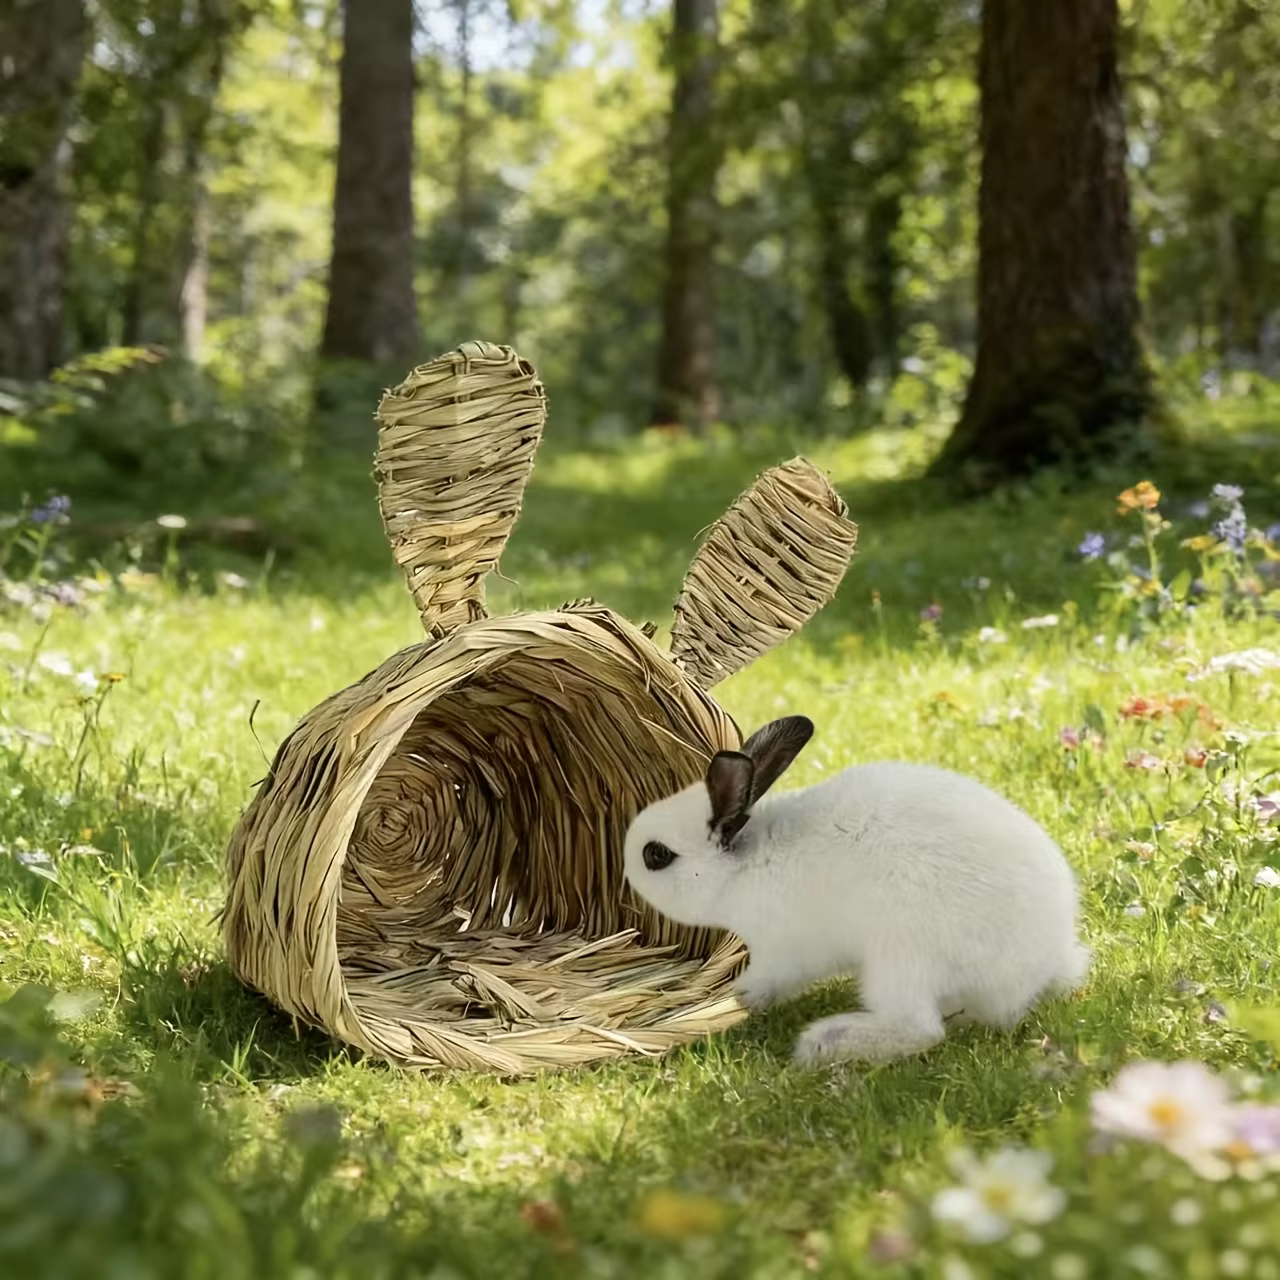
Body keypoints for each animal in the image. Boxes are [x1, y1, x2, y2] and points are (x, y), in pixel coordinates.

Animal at [623, 715, 1090, 1067]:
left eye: (656, 855)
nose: (625, 875)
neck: (745, 864)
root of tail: (1044, 965)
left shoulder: (781, 951)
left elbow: (768, 978)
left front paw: (743, 998)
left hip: (900, 956)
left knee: (920, 1029)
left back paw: (820, 1043)